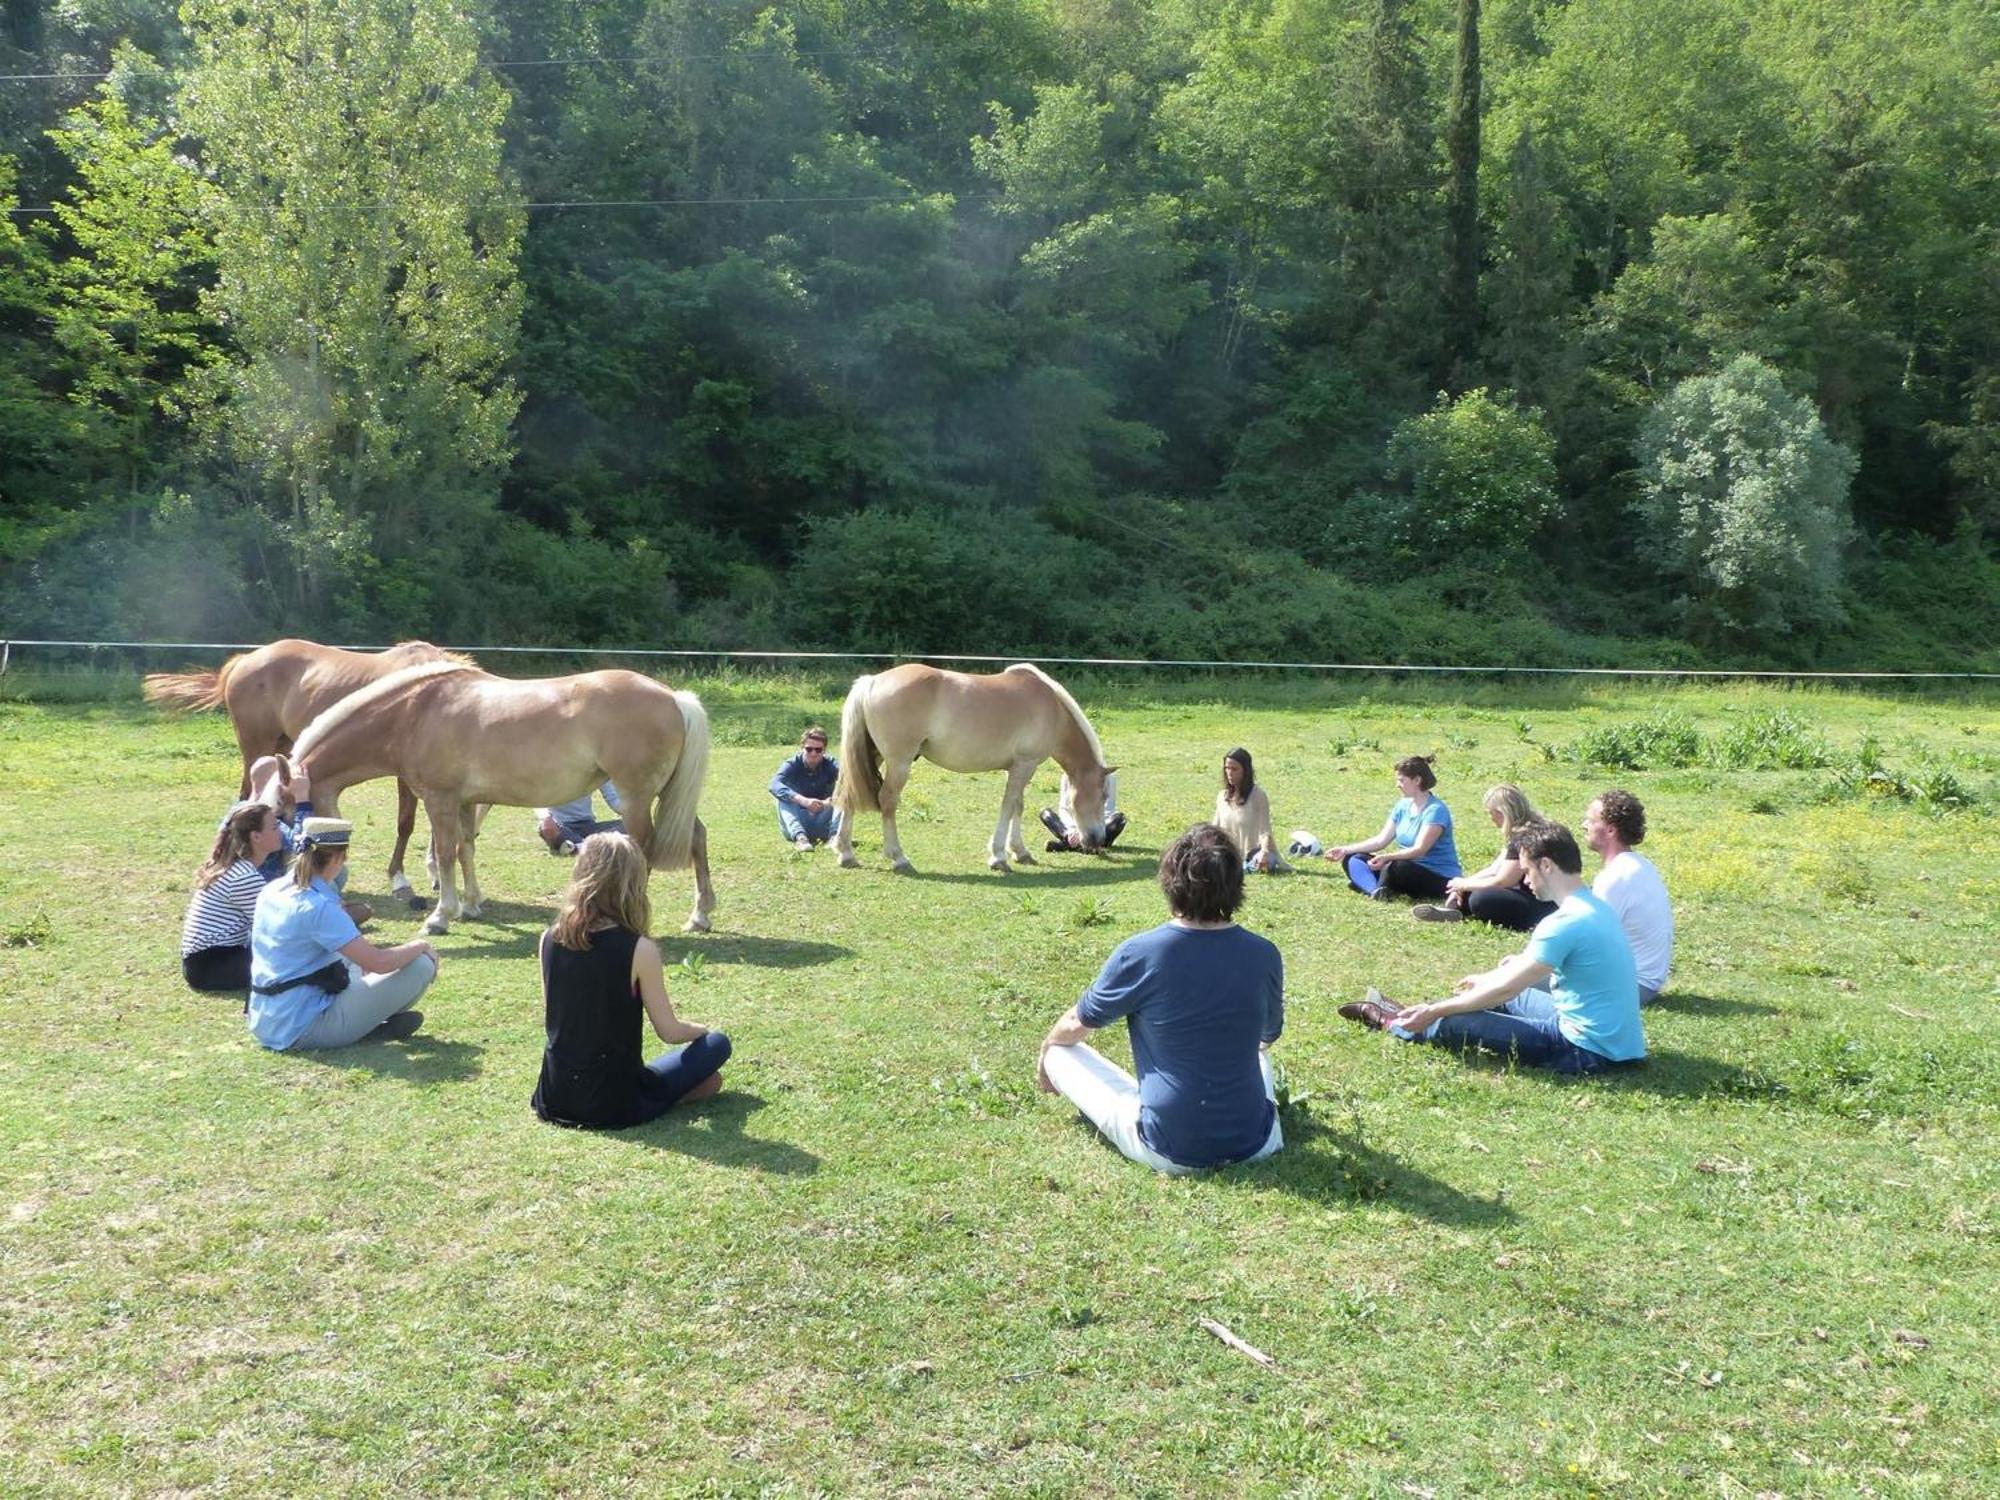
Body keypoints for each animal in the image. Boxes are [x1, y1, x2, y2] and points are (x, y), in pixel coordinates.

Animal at [142, 640, 468, 912]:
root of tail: (243, 660)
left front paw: (434, 873)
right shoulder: (407, 776)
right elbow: (406, 823)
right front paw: (400, 881)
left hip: (282, 746)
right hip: (255, 747)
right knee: (245, 798)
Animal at [286, 664, 716, 936]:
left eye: (290, 813)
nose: (297, 875)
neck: (415, 714)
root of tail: (674, 698)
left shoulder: (440, 800)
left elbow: (445, 853)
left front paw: (440, 916)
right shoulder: (464, 802)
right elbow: (465, 849)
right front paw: (471, 905)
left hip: (635, 798)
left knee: (641, 849)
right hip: (665, 797)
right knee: (697, 837)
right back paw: (700, 916)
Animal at [828, 668, 1112, 876]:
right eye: (1103, 796)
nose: (1098, 839)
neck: (1052, 708)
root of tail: (872, 681)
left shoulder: (1017, 768)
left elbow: (1018, 806)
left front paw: (1019, 852)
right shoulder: (1025, 765)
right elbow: (1009, 805)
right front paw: (998, 857)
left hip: (872, 756)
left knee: (849, 795)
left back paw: (846, 854)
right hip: (899, 763)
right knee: (887, 802)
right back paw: (899, 858)